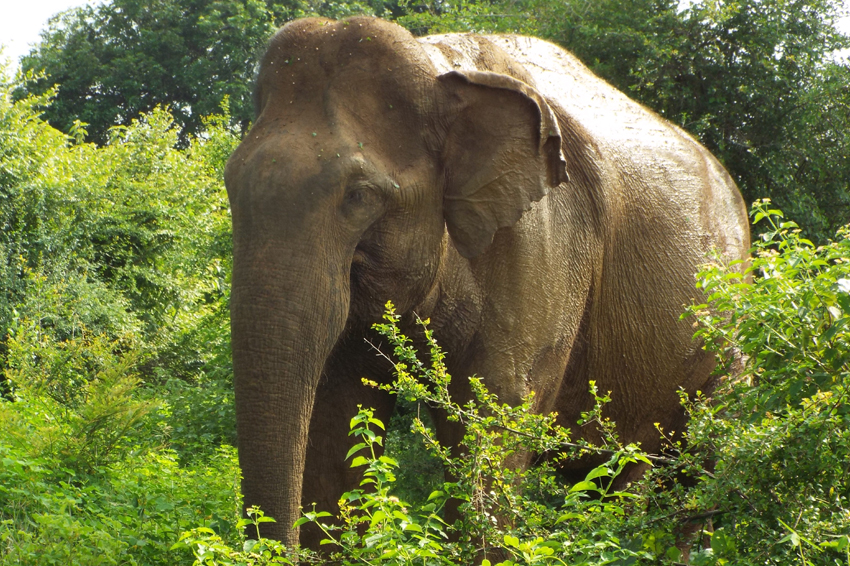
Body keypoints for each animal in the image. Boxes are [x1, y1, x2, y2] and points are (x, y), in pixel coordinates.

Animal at [224, 16, 748, 552]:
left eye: (359, 196)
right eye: (229, 182)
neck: (438, 68)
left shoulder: (544, 242)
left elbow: (497, 407)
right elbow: (339, 413)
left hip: (726, 354)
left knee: (678, 474)